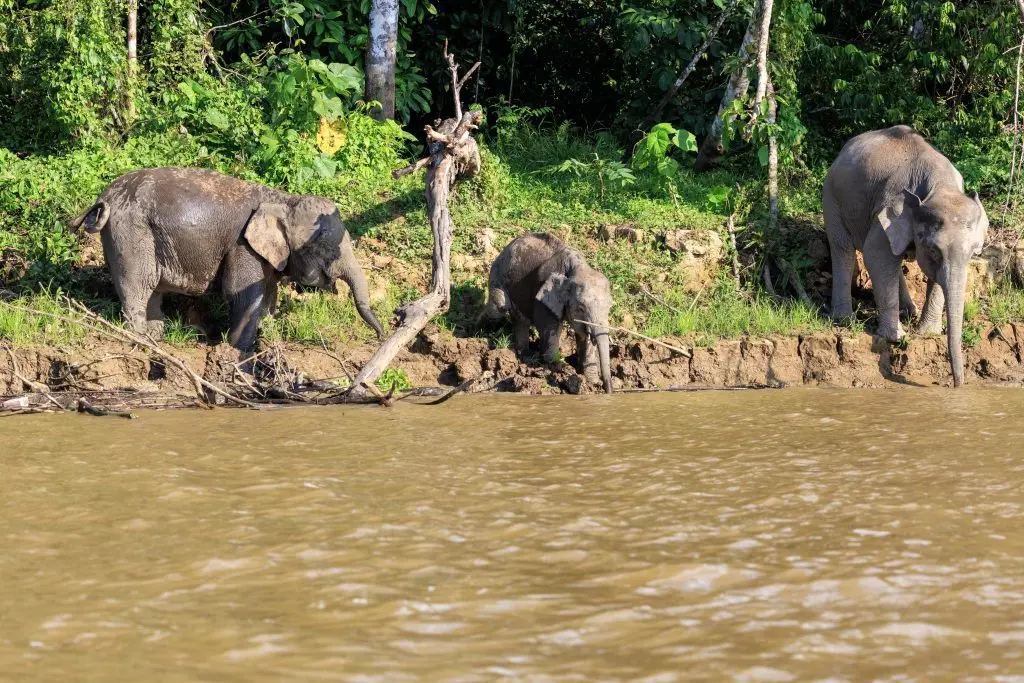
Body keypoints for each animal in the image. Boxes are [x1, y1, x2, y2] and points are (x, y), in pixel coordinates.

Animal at [70, 167, 384, 352]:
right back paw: (143, 342)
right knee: (139, 286)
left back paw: (157, 338)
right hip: (132, 235)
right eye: (322, 249)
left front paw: (266, 340)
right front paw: (237, 351)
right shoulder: (242, 245)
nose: (381, 336)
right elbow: (242, 293)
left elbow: (268, 296)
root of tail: (105, 197)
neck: (284, 199)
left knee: (153, 292)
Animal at [482, 232, 614, 393]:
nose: (607, 389)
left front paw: (591, 382)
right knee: (498, 307)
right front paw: (554, 369)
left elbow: (583, 335)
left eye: (609, 308)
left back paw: (524, 355)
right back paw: (479, 331)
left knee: (520, 319)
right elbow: (549, 328)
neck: (577, 267)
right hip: (498, 272)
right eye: (581, 308)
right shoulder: (543, 296)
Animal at [824, 125, 988, 387]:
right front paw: (896, 337)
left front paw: (927, 333)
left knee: (895, 258)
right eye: (933, 250)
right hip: (832, 198)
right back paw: (845, 320)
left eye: (975, 251)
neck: (940, 186)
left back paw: (909, 312)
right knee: (843, 248)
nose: (956, 385)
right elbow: (875, 254)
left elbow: (935, 276)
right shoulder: (889, 209)